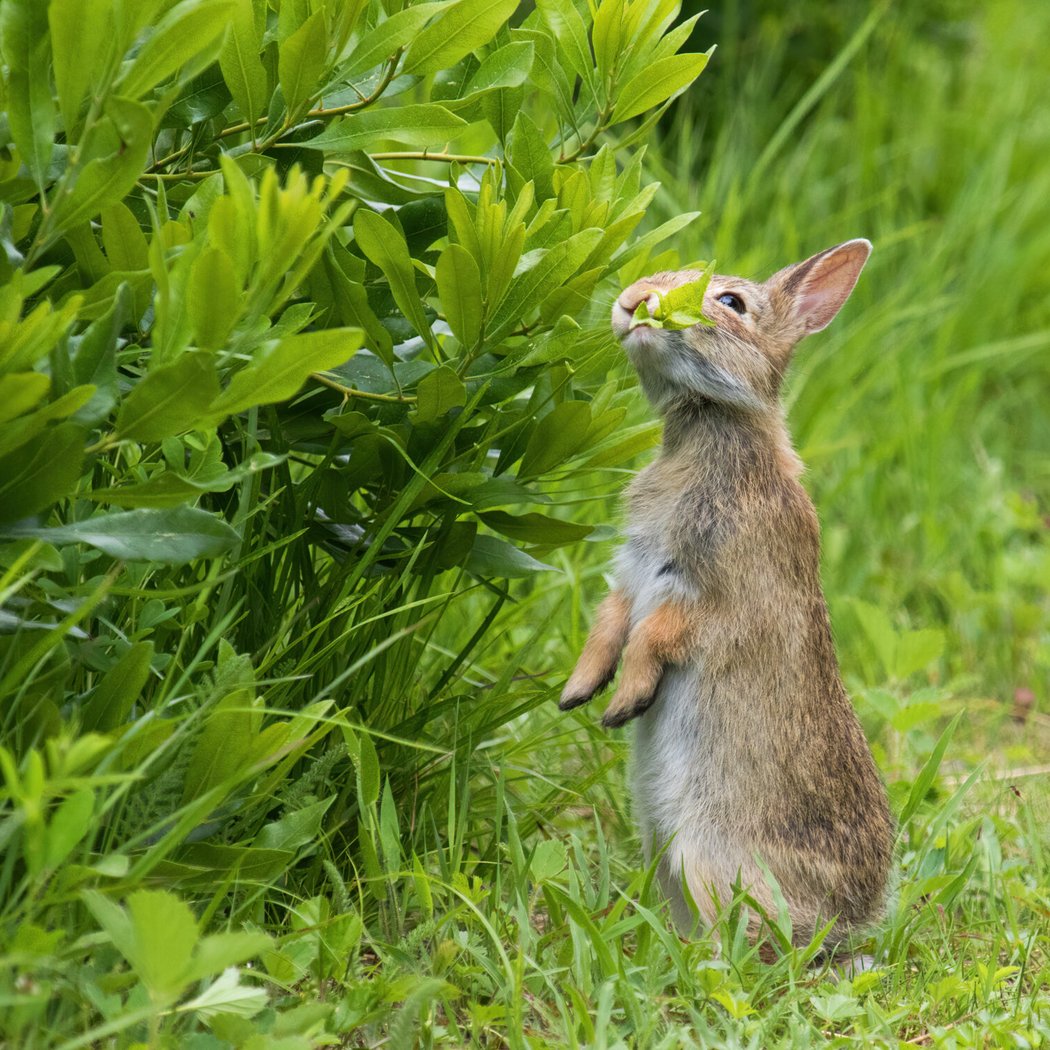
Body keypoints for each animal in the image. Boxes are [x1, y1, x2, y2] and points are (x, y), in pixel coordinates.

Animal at [559, 240, 894, 950]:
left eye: (731, 302)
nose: (633, 301)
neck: (707, 425)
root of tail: (848, 918)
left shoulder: (720, 598)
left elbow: (658, 634)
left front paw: (623, 704)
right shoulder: (631, 575)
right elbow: (611, 622)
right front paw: (578, 693)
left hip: (704, 854)